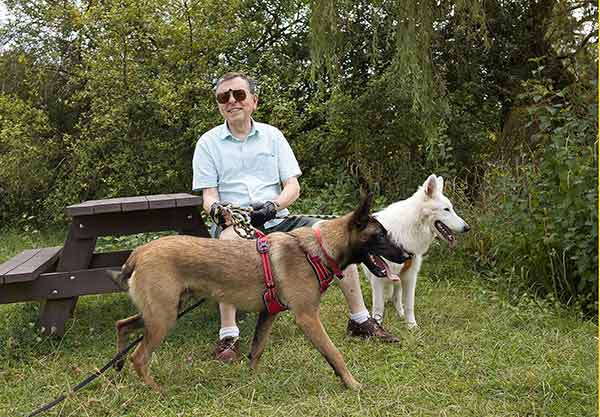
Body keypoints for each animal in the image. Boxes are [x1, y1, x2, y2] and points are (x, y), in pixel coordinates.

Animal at [110, 192, 410, 390]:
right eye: (380, 235)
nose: (407, 254)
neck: (318, 250)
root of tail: (139, 252)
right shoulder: (308, 318)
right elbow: (334, 353)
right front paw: (352, 384)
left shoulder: (268, 313)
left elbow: (256, 351)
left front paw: (252, 382)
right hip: (164, 318)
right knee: (140, 356)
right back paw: (154, 388)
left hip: (162, 312)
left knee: (122, 324)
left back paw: (118, 366)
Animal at [364, 174, 472, 326]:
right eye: (446, 209)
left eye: (451, 208)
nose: (467, 227)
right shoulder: (379, 277)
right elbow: (379, 306)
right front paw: (377, 325)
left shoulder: (410, 276)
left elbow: (409, 304)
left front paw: (412, 326)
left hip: (399, 278)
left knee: (397, 297)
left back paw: (400, 314)